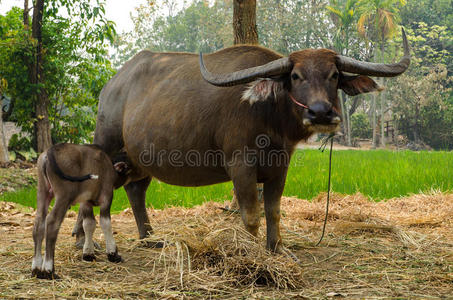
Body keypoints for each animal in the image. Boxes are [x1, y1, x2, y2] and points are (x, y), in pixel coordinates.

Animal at [73, 29, 410, 251]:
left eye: (334, 75)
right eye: (296, 76)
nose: (320, 112)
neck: (269, 118)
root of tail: (111, 86)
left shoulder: (279, 168)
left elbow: (273, 212)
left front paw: (276, 249)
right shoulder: (241, 166)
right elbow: (251, 216)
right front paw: (250, 253)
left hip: (139, 161)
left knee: (135, 190)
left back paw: (149, 237)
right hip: (107, 146)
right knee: (92, 186)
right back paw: (81, 239)